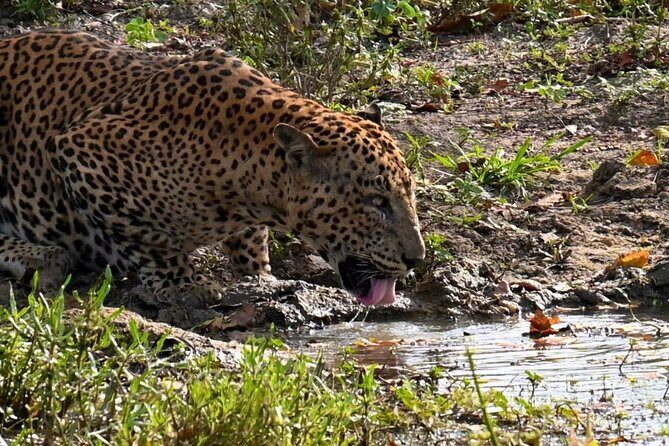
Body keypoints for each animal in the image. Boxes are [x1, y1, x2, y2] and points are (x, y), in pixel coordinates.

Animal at [0, 30, 425, 306]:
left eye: (409, 195)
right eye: (375, 203)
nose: (416, 260)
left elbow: (251, 241)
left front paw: (260, 276)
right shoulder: (79, 147)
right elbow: (152, 243)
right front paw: (183, 285)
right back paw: (43, 256)